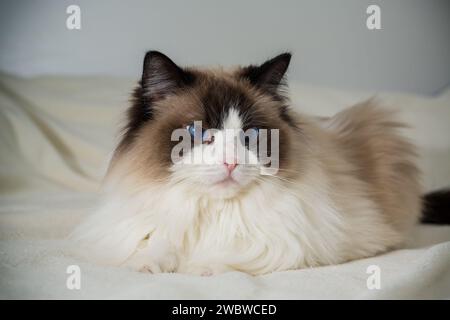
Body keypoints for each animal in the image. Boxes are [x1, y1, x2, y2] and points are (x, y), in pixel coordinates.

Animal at [70, 50, 426, 276]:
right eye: (198, 133)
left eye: (250, 135)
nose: (230, 163)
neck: (211, 212)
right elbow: (157, 244)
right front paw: (149, 265)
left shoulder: (288, 242)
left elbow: (234, 253)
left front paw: (199, 268)